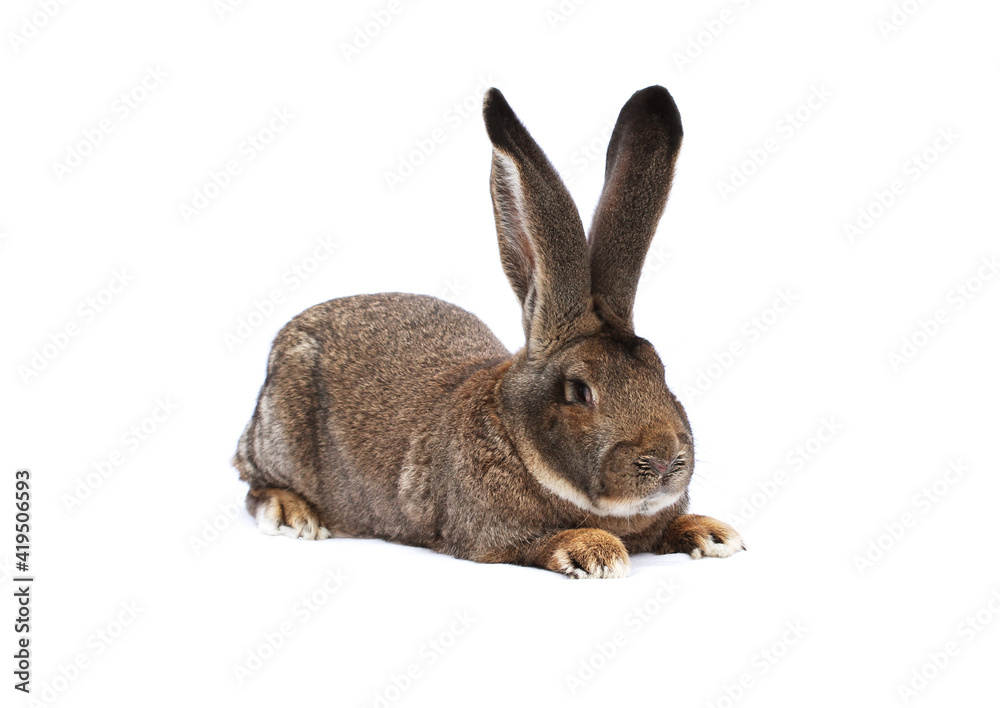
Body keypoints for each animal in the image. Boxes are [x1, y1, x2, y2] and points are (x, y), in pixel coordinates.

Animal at [232, 85, 745, 579]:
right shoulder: (491, 537)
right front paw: (596, 552)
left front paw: (714, 535)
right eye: (580, 391)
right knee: (254, 484)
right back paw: (293, 515)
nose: (665, 460)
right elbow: (542, 542)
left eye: (661, 373)